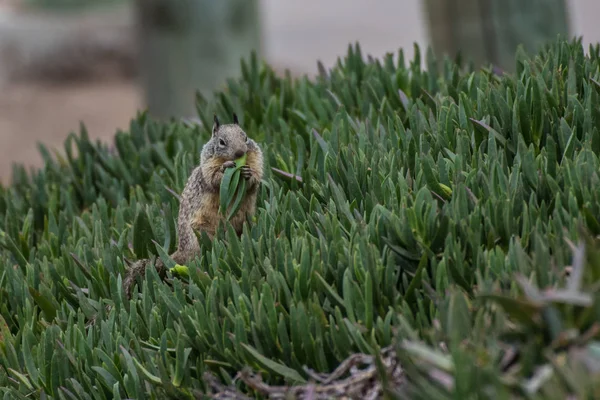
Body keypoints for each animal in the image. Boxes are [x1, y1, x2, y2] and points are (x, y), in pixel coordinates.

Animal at [122, 112, 262, 296]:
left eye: (245, 137)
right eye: (221, 142)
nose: (240, 153)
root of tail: (181, 252)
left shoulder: (256, 159)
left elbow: (255, 180)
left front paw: (248, 173)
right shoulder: (207, 168)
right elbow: (214, 179)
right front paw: (225, 168)